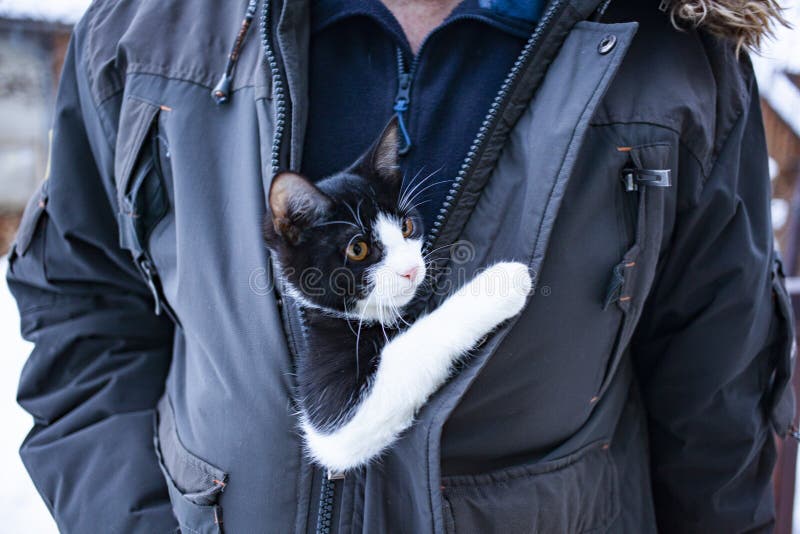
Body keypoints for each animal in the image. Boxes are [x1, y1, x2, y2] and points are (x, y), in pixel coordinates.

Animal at [266, 120, 536, 474]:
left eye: (407, 226)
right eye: (358, 248)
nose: (411, 270)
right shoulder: (332, 416)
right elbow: (412, 345)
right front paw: (500, 283)